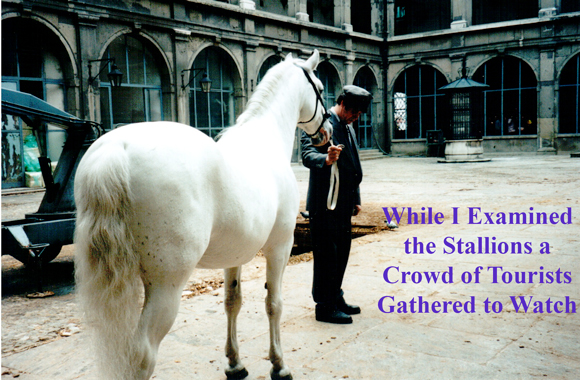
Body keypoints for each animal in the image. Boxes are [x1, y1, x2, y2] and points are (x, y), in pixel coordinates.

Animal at [73, 50, 330, 380]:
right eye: (320, 89)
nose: (327, 131)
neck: (264, 140)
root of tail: (116, 149)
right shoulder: (280, 247)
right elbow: (274, 303)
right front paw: (279, 365)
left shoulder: (235, 256)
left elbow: (232, 302)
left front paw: (235, 362)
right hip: (167, 285)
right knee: (142, 353)